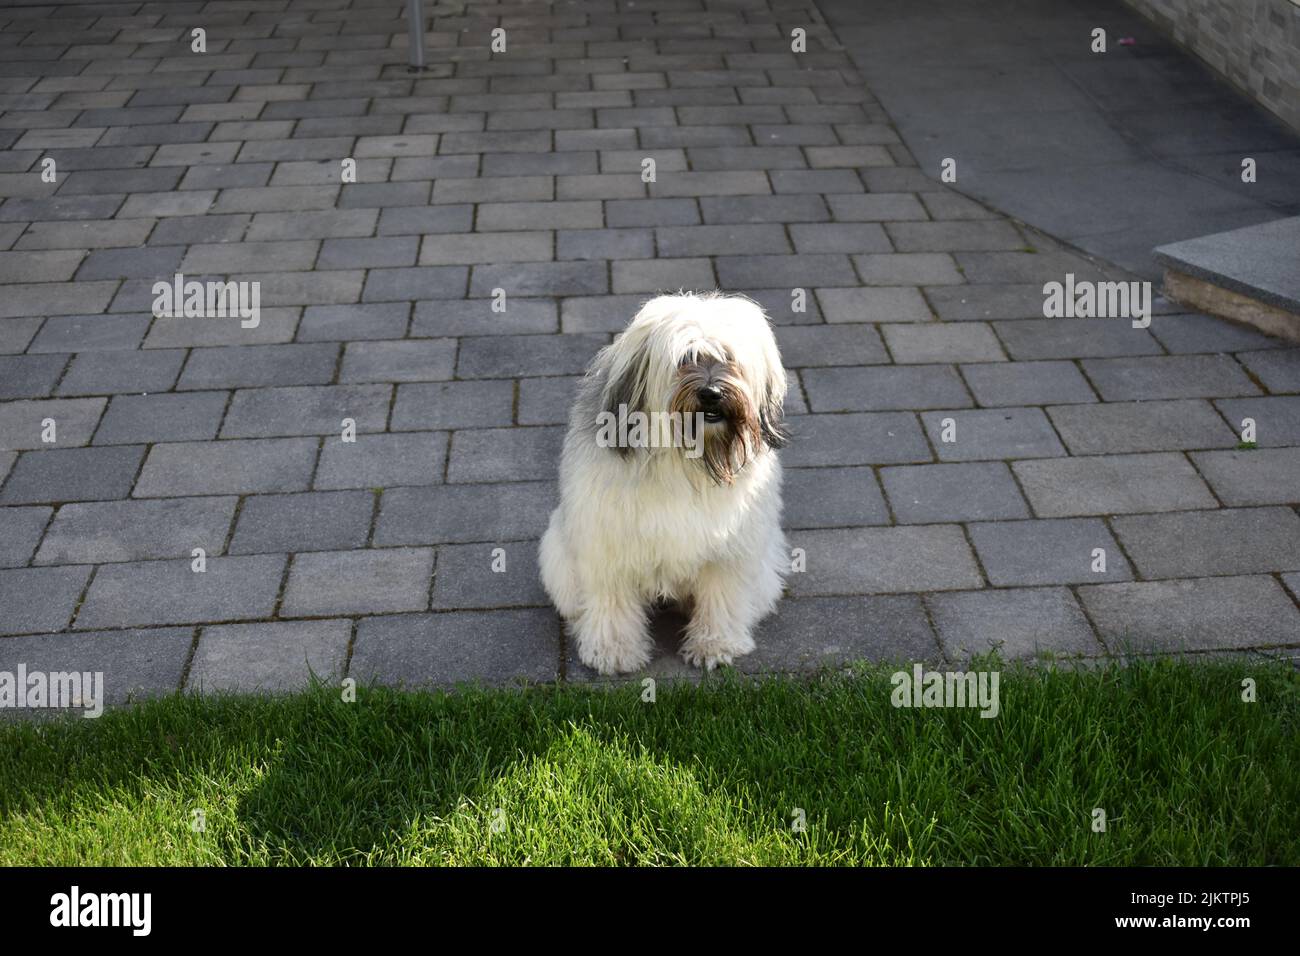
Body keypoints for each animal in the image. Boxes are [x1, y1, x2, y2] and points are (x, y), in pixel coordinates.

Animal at [540, 291, 790, 671]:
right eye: (686, 359)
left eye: (728, 358)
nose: (712, 393)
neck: (685, 459)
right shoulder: (607, 541)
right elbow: (612, 598)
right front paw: (614, 649)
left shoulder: (731, 545)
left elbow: (722, 594)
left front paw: (715, 644)